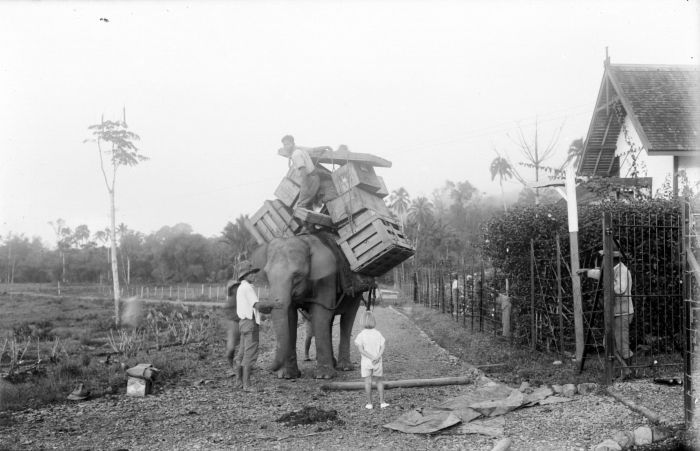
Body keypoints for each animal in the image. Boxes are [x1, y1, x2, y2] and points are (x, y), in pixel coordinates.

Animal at [250, 235, 372, 380]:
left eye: (297, 275)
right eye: (267, 276)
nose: (269, 369)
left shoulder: (327, 278)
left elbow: (320, 314)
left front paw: (323, 376)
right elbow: (291, 317)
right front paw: (288, 376)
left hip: (356, 293)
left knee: (347, 319)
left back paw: (344, 367)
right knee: (329, 322)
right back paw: (333, 363)